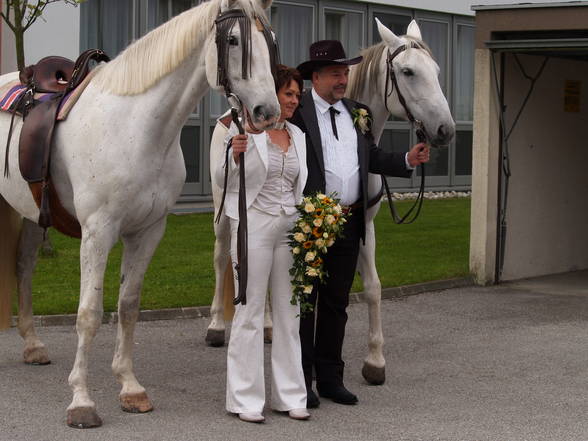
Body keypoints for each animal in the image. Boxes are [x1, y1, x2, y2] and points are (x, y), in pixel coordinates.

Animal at [0, 0, 280, 428]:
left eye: (270, 40)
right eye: (233, 40)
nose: (268, 112)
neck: (135, 128)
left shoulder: (148, 231)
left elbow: (128, 306)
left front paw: (130, 388)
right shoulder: (98, 232)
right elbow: (89, 313)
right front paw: (82, 402)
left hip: (33, 216)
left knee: (24, 267)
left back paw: (33, 346)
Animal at [204, 18, 458, 382]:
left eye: (435, 71)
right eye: (408, 71)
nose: (445, 130)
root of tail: (232, 114)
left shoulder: (364, 225)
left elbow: (373, 288)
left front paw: (375, 361)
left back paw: (268, 326)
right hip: (225, 214)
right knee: (222, 258)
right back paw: (214, 327)